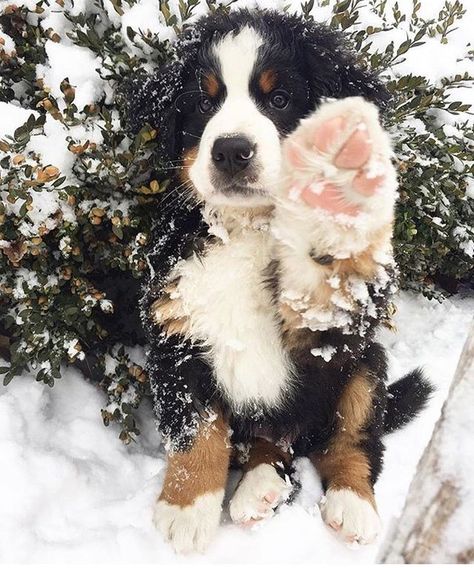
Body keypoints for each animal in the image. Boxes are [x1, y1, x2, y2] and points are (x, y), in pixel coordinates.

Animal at [127, 7, 434, 556]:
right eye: (203, 103)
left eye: (280, 100)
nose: (231, 151)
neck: (249, 227)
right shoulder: (176, 330)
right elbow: (195, 431)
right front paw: (186, 509)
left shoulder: (341, 330)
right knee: (273, 443)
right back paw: (260, 488)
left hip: (367, 365)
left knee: (351, 440)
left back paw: (348, 504)